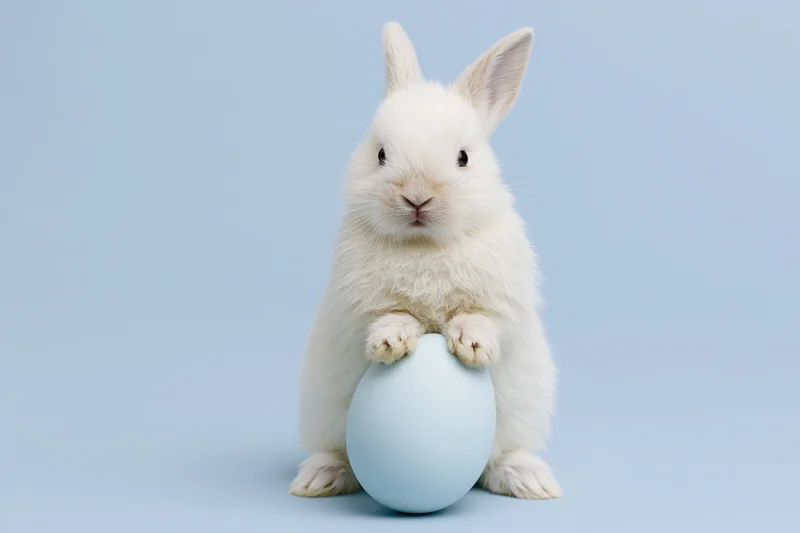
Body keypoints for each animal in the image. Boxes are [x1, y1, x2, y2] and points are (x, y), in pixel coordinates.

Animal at [289, 22, 561, 501]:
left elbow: (484, 318)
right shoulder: (356, 307)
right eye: (380, 154)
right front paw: (391, 342)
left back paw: (531, 480)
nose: (417, 197)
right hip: (323, 411)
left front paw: (472, 344)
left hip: (521, 413)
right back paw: (319, 478)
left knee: (499, 460)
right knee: (337, 454)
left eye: (463, 157)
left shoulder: (502, 303)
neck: (424, 245)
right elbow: (388, 315)